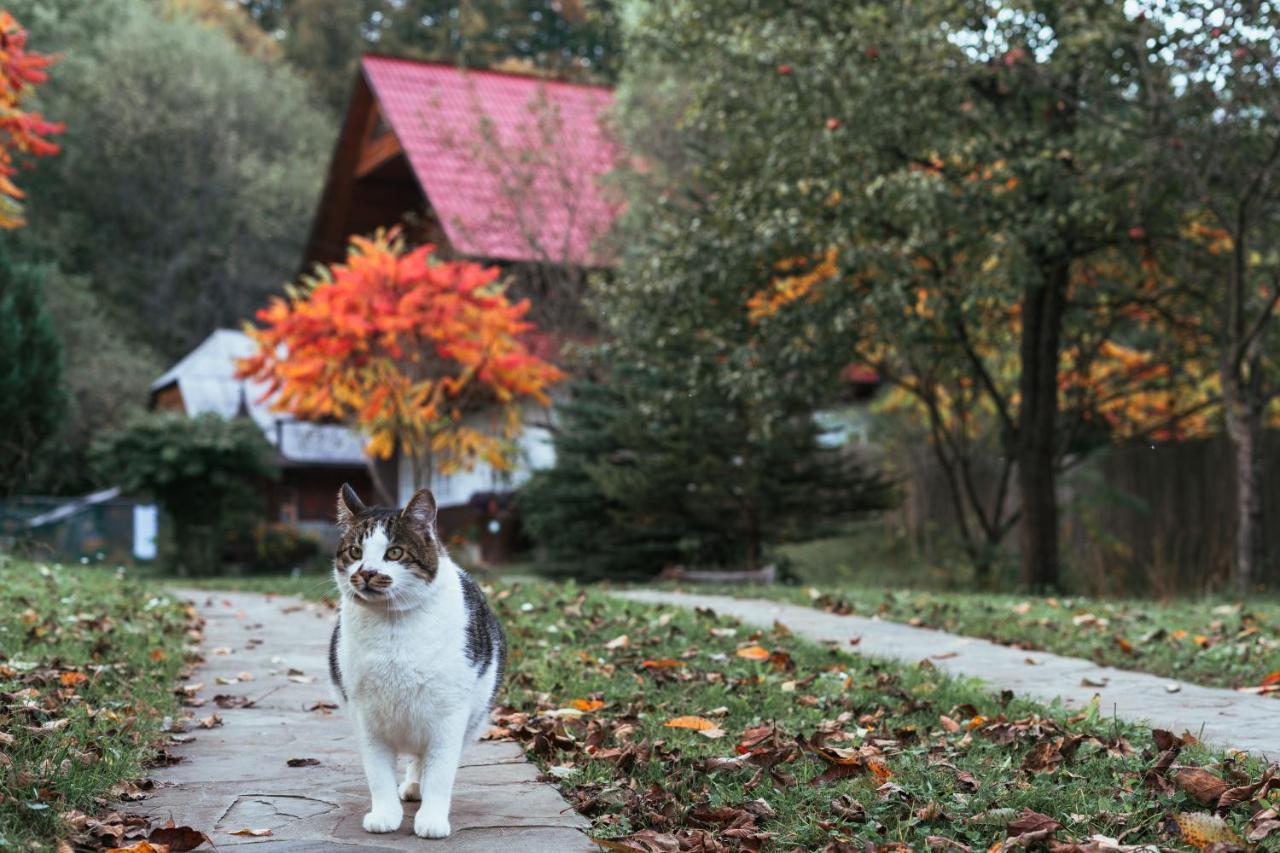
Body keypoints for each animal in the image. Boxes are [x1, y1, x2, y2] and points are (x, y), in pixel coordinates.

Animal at [325, 481, 504, 835]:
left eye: (394, 552)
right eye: (355, 552)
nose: (366, 572)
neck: (393, 628)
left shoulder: (450, 714)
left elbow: (440, 772)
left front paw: (432, 819)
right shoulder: (366, 715)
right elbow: (378, 774)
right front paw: (384, 815)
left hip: (472, 716)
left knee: (426, 758)